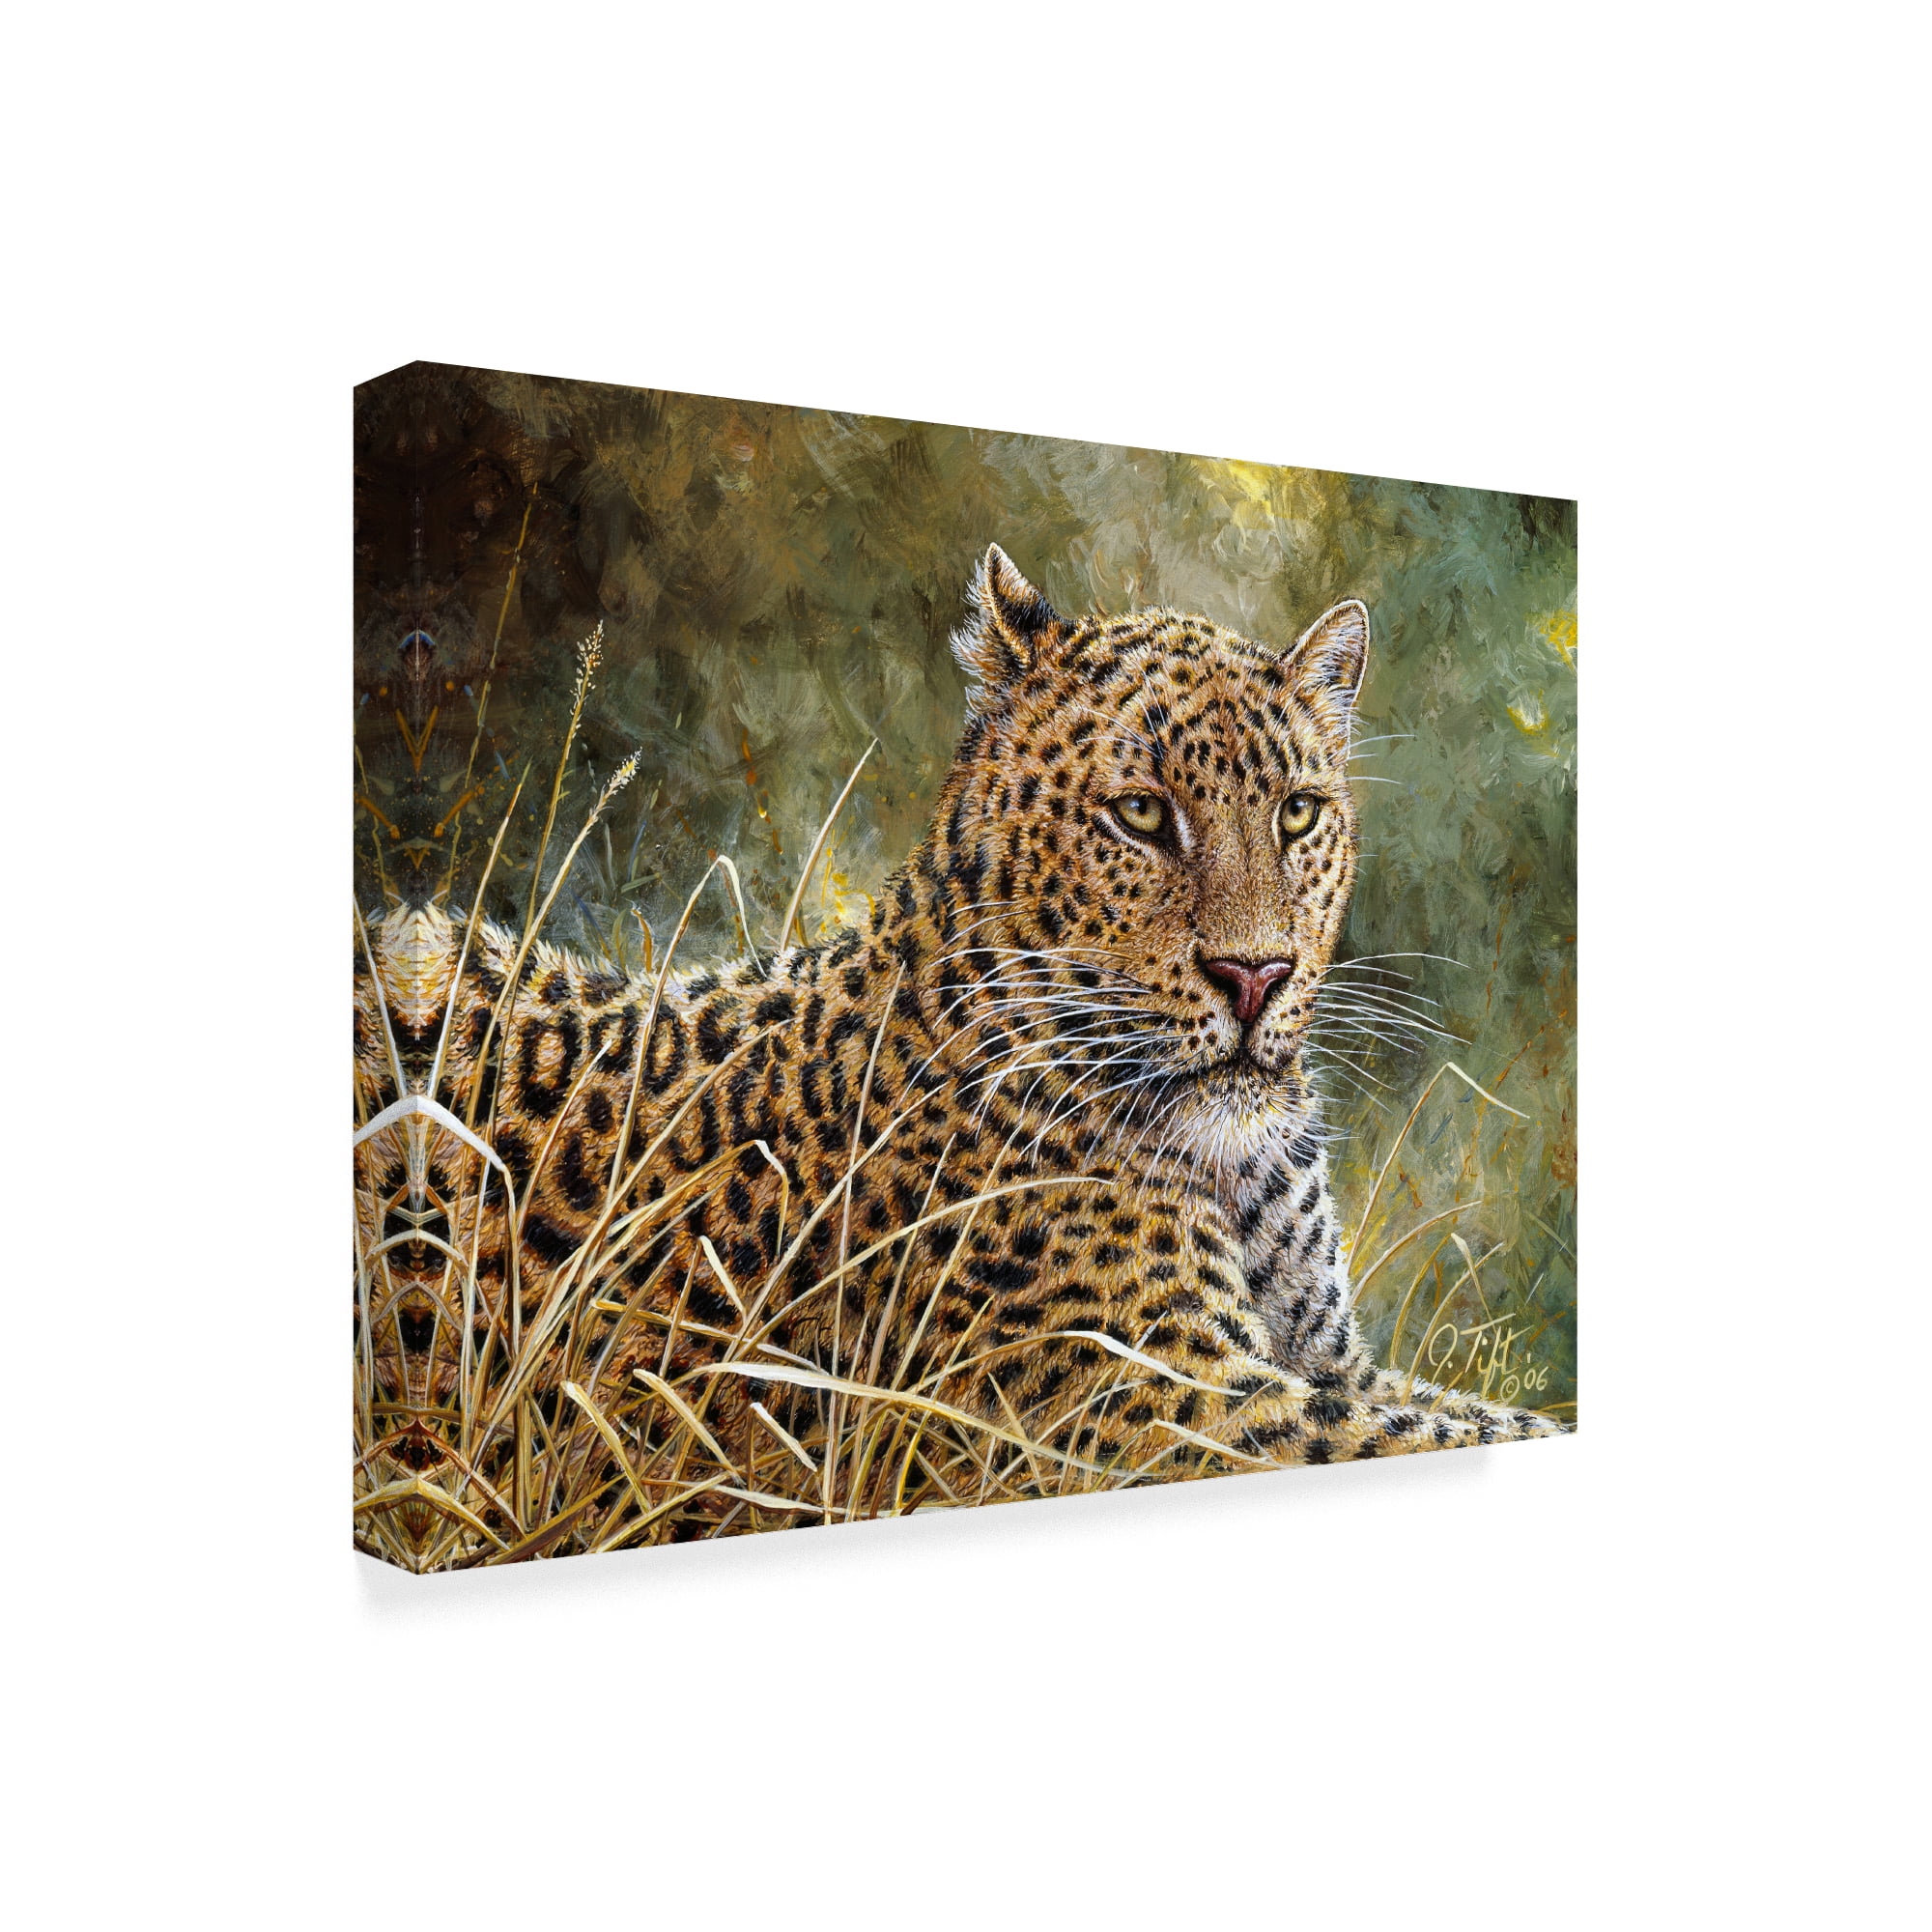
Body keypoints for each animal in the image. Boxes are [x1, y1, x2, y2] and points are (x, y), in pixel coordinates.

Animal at [354, 545, 1562, 1558]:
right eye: (1139, 814)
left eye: (1299, 815)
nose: (1255, 974)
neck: (1232, 1165)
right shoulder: (1159, 1400)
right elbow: (1485, 1429)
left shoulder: (1324, 1362)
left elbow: (1493, 1413)